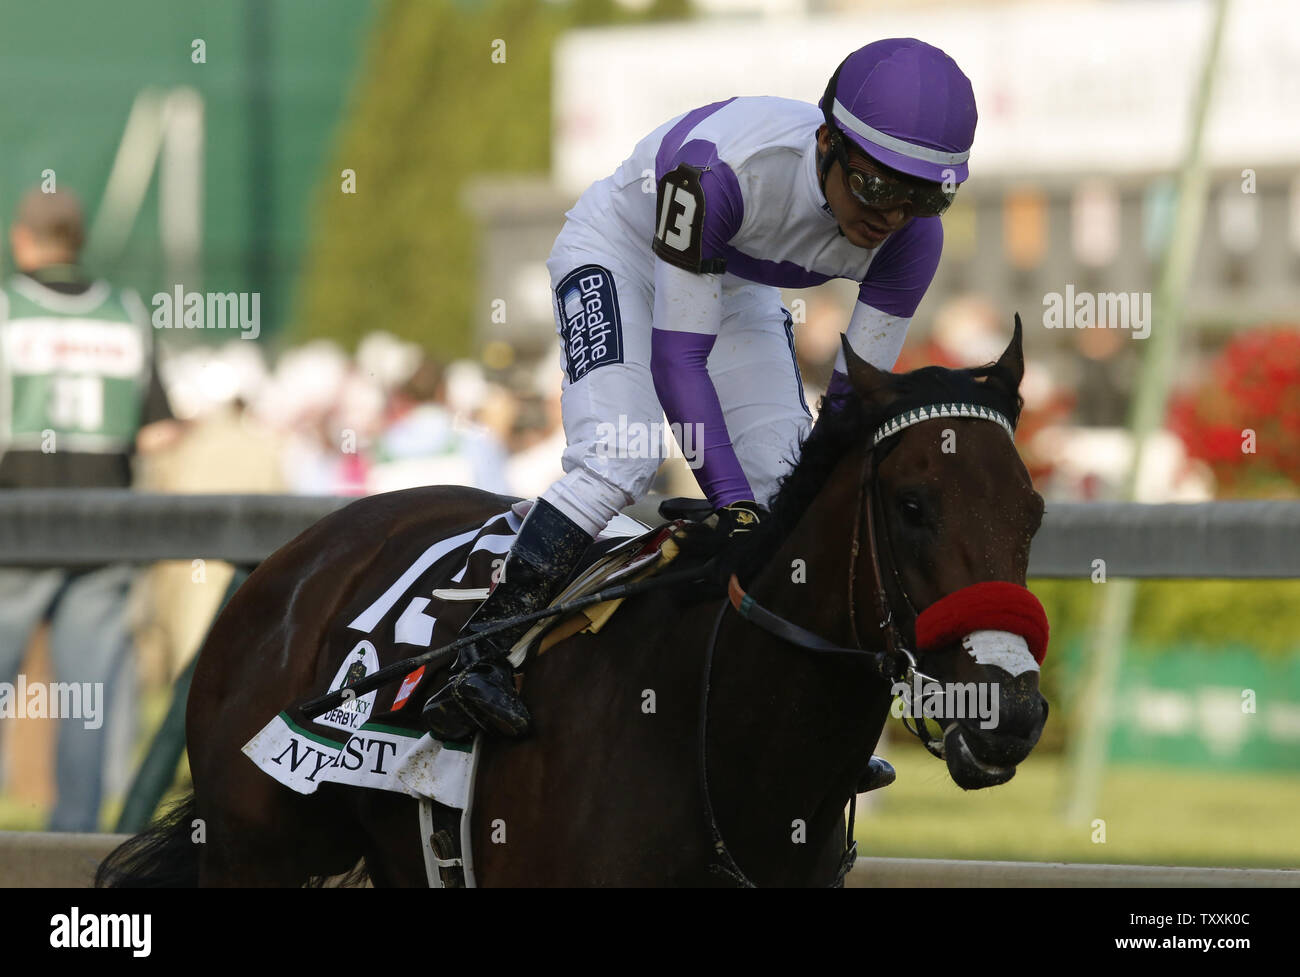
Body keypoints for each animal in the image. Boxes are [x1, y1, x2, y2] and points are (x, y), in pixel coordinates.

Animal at [98, 324, 1045, 888]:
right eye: (913, 505)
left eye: (1033, 511)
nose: (1011, 711)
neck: (711, 736)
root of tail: (299, 556)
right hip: (255, 848)